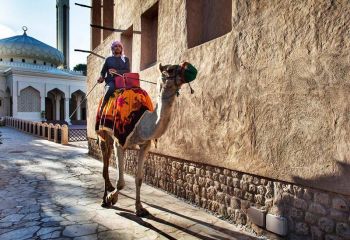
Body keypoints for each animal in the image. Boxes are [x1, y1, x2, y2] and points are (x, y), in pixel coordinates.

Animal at [98, 62, 196, 217]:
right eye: (170, 69)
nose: (191, 69)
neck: (141, 121)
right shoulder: (119, 142)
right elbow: (121, 182)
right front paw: (110, 198)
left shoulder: (145, 145)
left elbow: (139, 179)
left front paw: (139, 208)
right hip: (102, 132)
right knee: (105, 163)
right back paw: (104, 197)